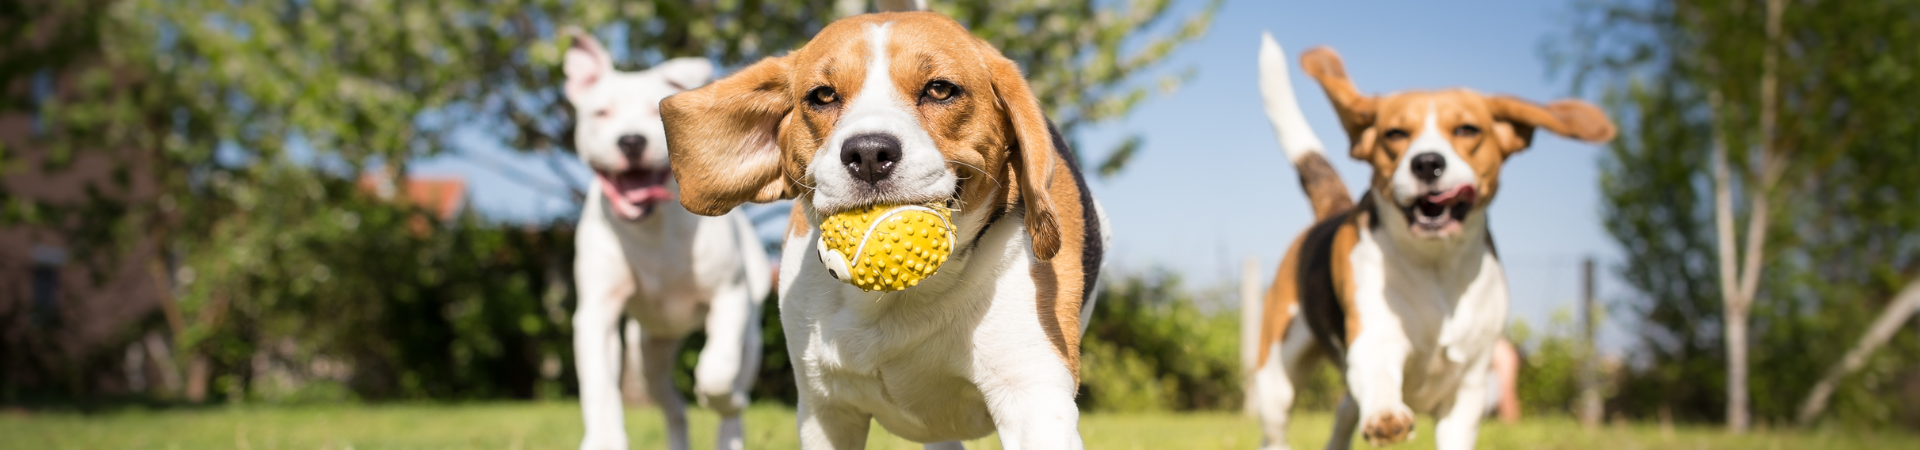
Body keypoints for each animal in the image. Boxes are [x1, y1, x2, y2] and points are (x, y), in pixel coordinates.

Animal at [564, 28, 775, 450]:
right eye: (601, 113)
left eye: (654, 112)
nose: (631, 141)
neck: (652, 227)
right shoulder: (597, 313)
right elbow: (599, 387)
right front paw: (604, 439)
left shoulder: (728, 298)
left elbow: (717, 372)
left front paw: (722, 397)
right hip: (649, 353)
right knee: (673, 408)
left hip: (749, 334)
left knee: (732, 392)